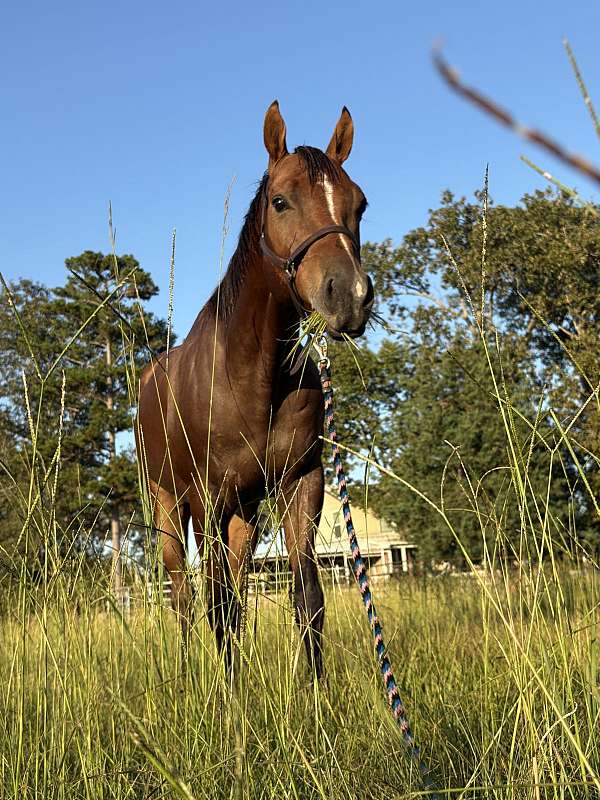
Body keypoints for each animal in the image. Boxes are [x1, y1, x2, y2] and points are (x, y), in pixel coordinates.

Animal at [136, 101, 373, 679]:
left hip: (243, 511)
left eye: (359, 204)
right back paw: (185, 671)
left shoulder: (301, 485)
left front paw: (315, 692)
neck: (252, 375)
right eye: (280, 201)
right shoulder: (206, 497)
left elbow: (306, 598)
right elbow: (216, 604)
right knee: (183, 595)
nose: (350, 296)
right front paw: (228, 692)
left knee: (235, 585)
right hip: (170, 505)